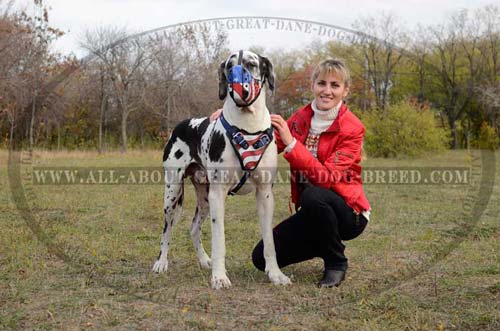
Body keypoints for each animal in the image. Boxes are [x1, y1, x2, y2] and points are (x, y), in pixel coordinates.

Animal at [152, 50, 292, 290]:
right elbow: (219, 240)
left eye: (251, 64)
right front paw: (219, 277)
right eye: (229, 66)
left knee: (194, 227)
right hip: (173, 193)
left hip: (204, 196)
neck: (248, 126)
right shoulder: (218, 194)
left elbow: (269, 242)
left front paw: (275, 274)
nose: (240, 86)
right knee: (167, 230)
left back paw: (203, 260)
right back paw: (161, 263)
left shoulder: (265, 194)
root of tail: (183, 123)